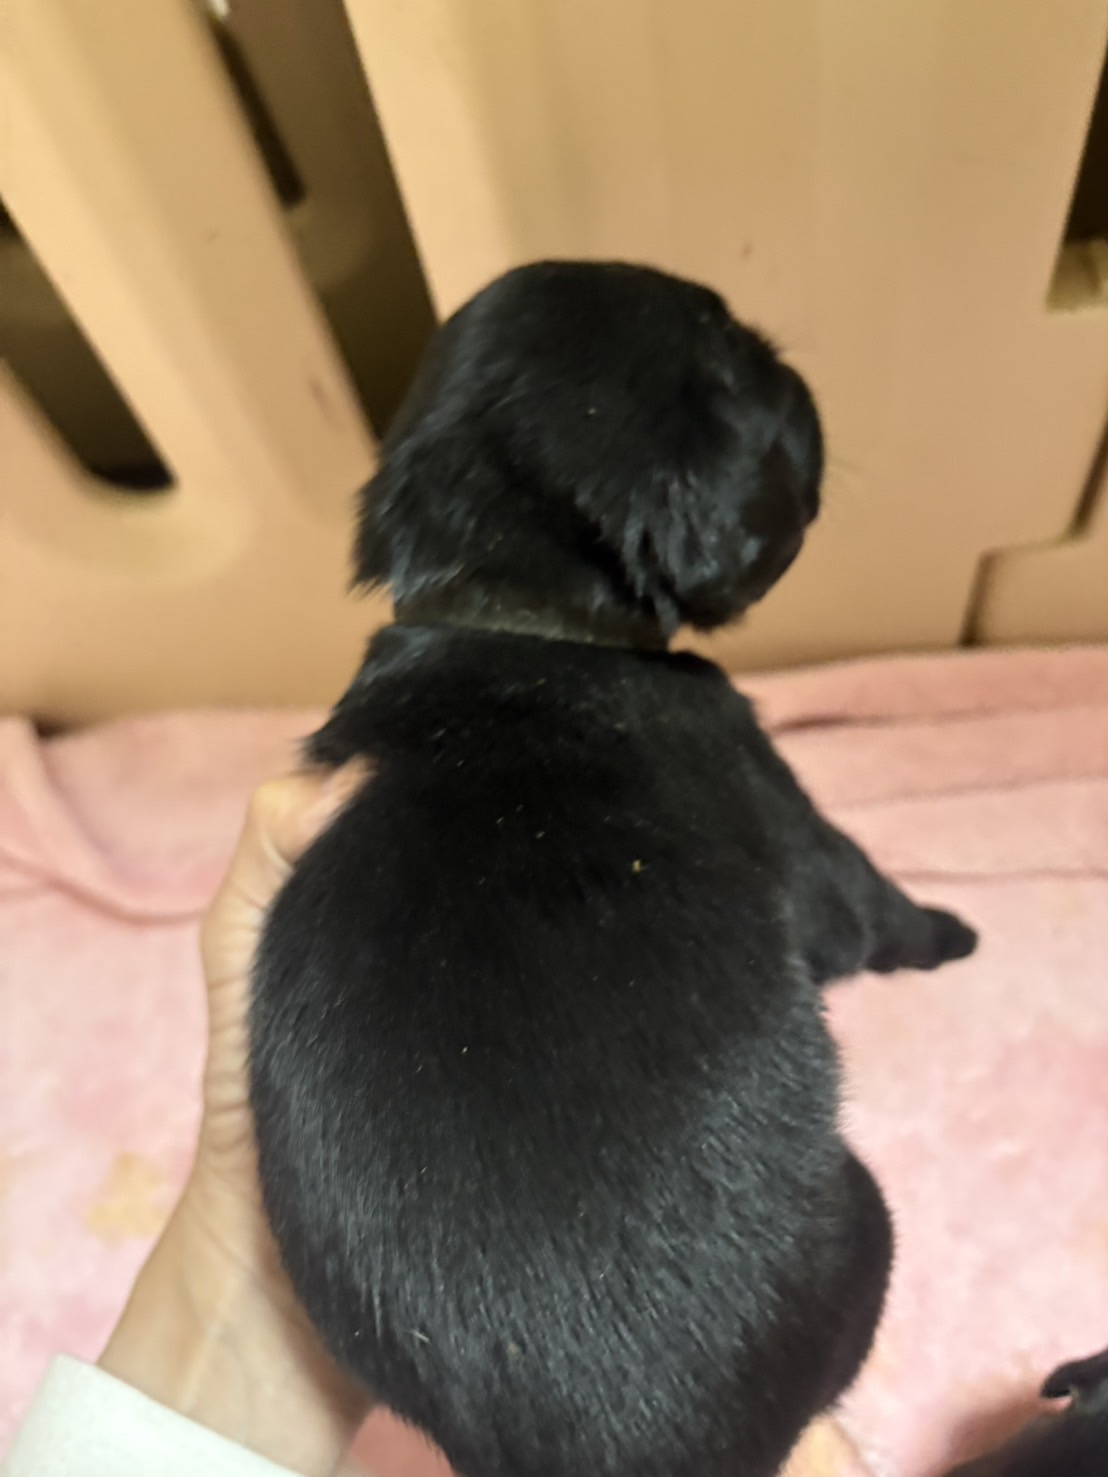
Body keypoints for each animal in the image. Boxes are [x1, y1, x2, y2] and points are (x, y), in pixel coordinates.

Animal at [250, 260, 978, 1477]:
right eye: (736, 365)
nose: (801, 372)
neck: (510, 611)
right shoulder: (780, 803)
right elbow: (873, 902)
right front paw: (953, 933)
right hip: (864, 1222)